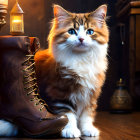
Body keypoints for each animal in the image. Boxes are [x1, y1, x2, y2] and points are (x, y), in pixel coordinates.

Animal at [34, 4, 109, 138]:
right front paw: (70, 130)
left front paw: (88, 129)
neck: (81, 59)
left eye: (90, 31)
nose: (81, 39)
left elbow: (87, 115)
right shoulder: (60, 93)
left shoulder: (91, 95)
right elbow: (68, 114)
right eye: (71, 31)